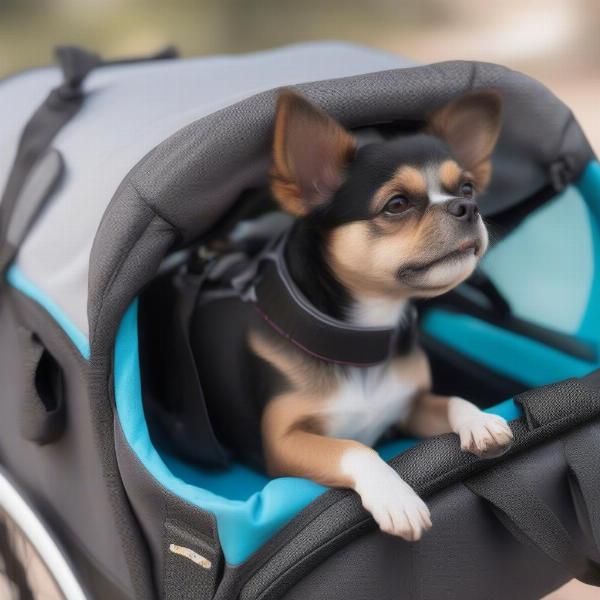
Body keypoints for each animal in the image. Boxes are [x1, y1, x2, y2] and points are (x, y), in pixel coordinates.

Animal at [195, 86, 512, 540]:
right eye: (396, 204)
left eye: (467, 188)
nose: (467, 207)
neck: (364, 336)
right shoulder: (284, 441)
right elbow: (354, 447)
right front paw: (397, 498)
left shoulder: (409, 406)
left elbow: (451, 399)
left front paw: (480, 420)